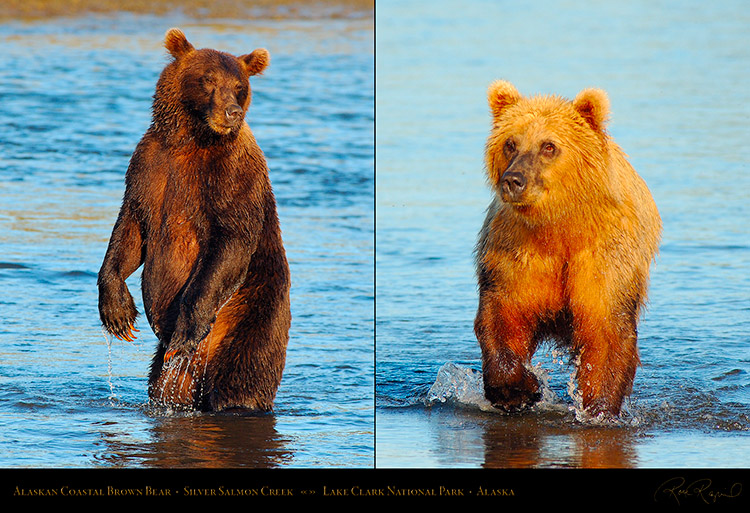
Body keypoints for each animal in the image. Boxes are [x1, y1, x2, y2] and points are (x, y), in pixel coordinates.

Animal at [97, 28, 290, 412]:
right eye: (209, 79)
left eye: (240, 86)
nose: (231, 112)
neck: (192, 138)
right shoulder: (148, 169)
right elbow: (130, 233)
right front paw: (118, 313)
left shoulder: (232, 178)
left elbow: (230, 242)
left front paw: (187, 328)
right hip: (170, 368)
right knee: (164, 382)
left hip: (253, 310)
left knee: (241, 376)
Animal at [476, 79, 664, 416]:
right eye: (511, 143)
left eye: (548, 146)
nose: (513, 180)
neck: (559, 227)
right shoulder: (516, 251)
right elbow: (503, 313)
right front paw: (520, 388)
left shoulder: (604, 257)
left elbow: (606, 331)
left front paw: (599, 407)